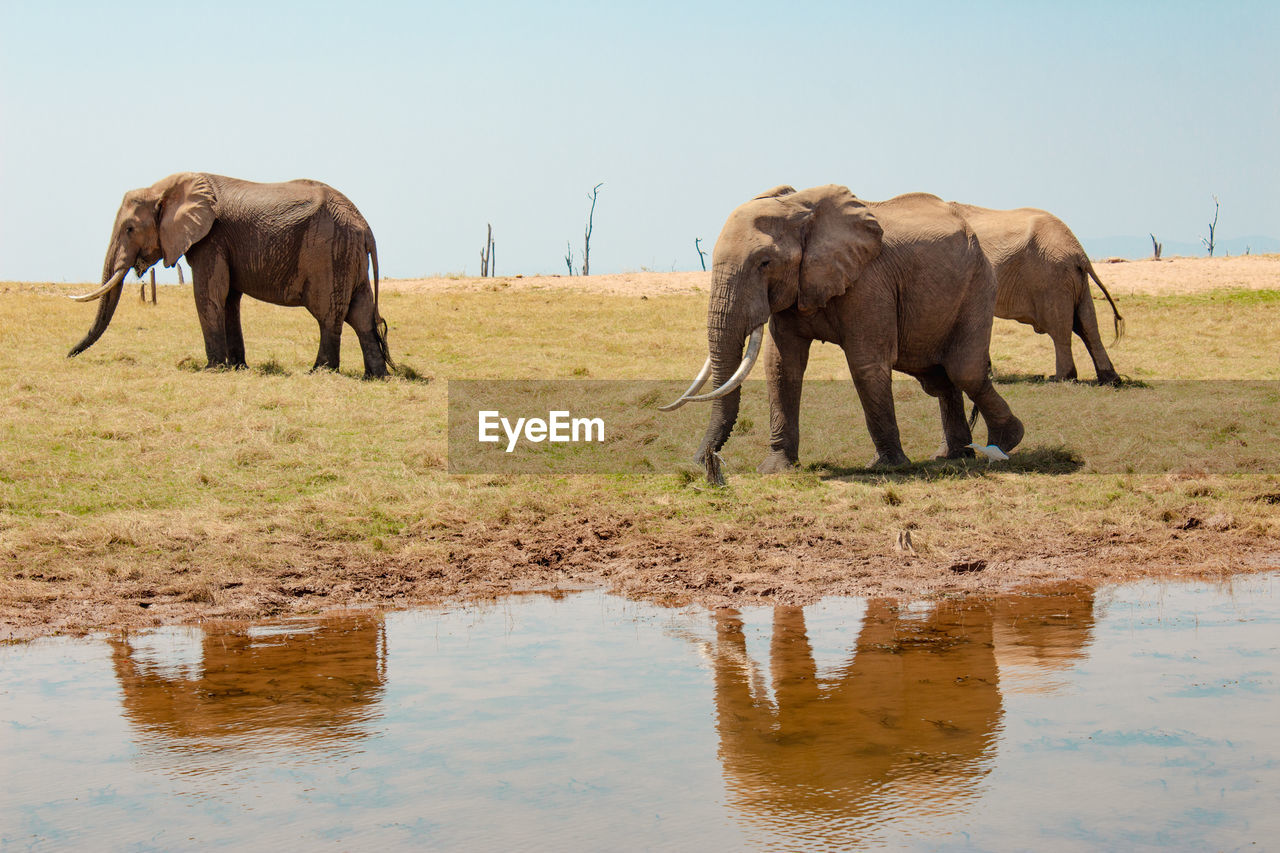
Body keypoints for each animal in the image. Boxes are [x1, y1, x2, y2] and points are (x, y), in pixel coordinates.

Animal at [665, 183, 1024, 471]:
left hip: (979, 286)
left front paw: (887, 467)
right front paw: (776, 470)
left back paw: (1005, 442)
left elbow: (866, 363)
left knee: (964, 370)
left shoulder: (868, 281)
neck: (800, 210)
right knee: (939, 379)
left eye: (764, 262)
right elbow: (781, 364)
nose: (702, 462)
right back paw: (952, 455)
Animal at [957, 202, 1126, 381]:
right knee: (1088, 326)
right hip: (1077, 282)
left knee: (1060, 329)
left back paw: (1061, 378)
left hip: (1051, 278)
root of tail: (1080, 253)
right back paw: (1111, 379)